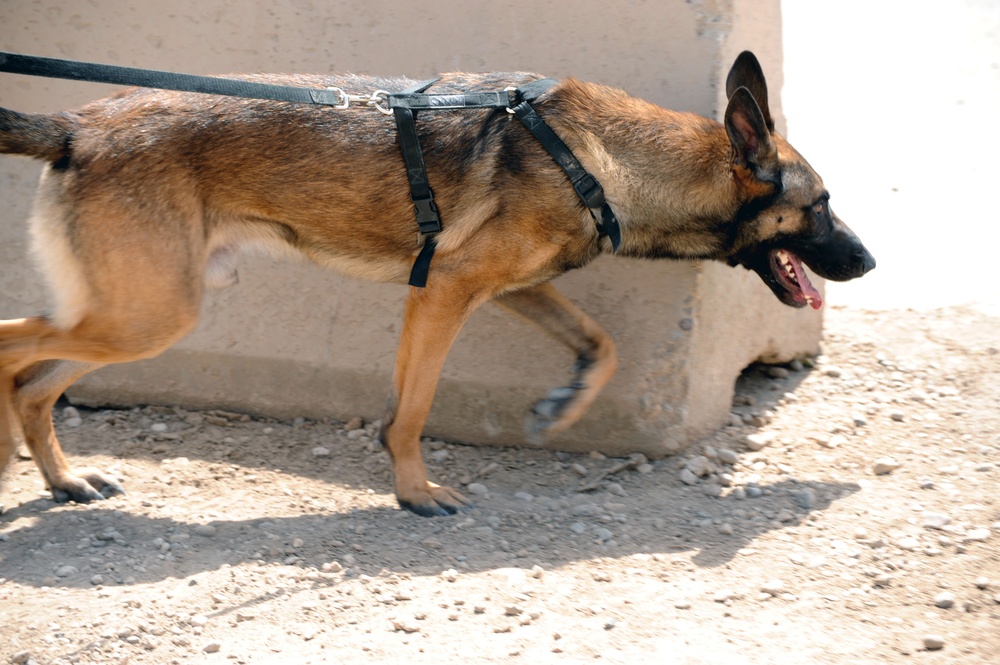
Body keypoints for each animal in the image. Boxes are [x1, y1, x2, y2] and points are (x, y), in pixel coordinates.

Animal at [0, 52, 872, 516]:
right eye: (821, 205)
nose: (868, 263)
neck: (607, 159)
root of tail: (75, 127)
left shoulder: (515, 288)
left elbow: (601, 344)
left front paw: (562, 403)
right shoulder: (444, 293)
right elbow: (411, 410)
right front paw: (415, 489)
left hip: (141, 313)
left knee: (38, 382)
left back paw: (62, 476)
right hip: (149, 314)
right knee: (17, 353)